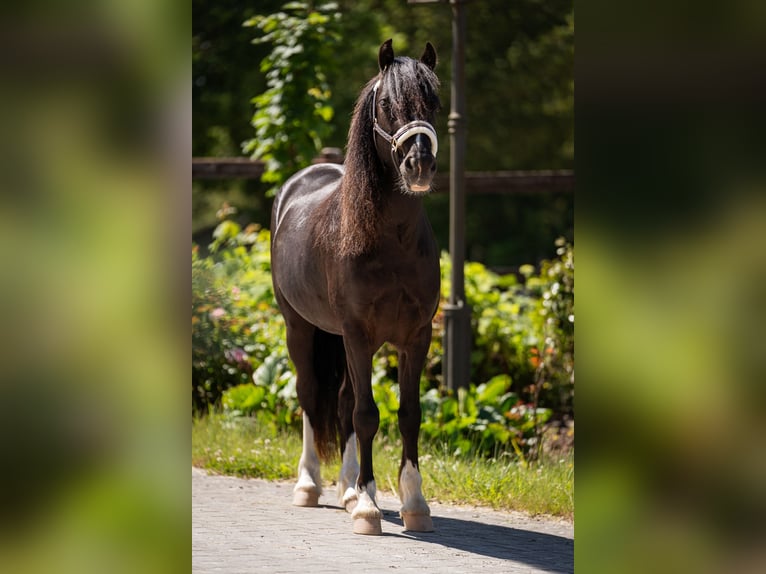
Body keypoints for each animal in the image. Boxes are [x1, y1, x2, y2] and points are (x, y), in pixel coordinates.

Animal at [270, 39, 441, 536]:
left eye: (435, 101)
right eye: (386, 104)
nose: (419, 165)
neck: (391, 240)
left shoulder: (415, 337)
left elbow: (408, 415)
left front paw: (413, 503)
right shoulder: (358, 335)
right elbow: (367, 415)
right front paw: (368, 507)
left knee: (343, 402)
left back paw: (346, 488)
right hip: (301, 328)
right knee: (310, 395)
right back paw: (310, 485)